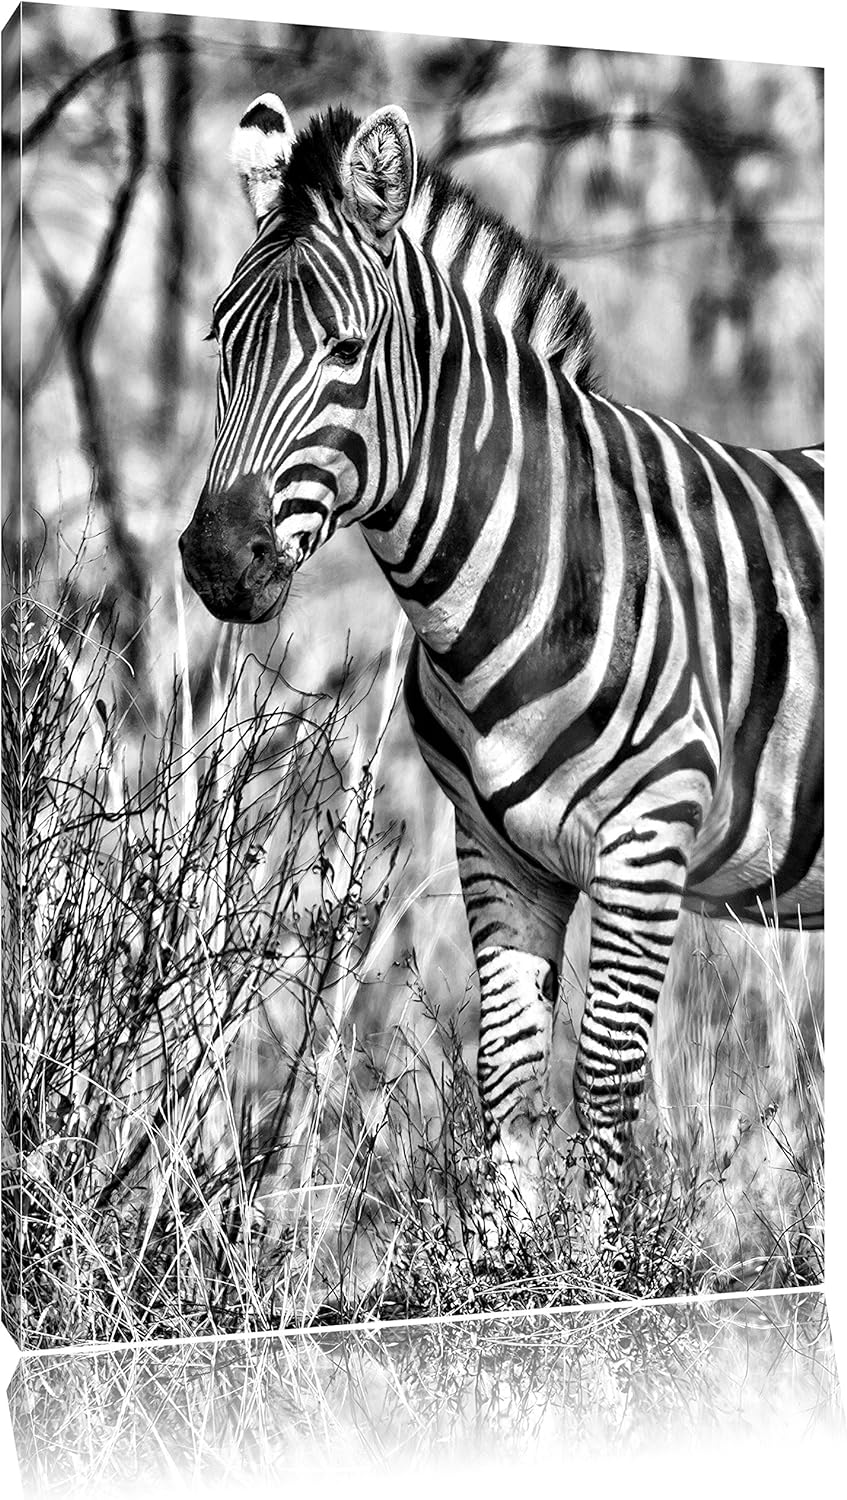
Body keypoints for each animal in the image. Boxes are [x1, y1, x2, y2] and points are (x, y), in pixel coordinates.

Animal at [179, 95, 824, 1231]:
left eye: (346, 348)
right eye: (223, 339)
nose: (218, 559)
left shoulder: (648, 833)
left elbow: (603, 1077)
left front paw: (596, 1268)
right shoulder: (497, 850)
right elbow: (508, 1072)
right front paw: (500, 1258)